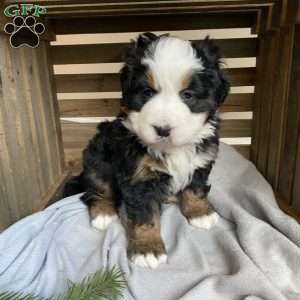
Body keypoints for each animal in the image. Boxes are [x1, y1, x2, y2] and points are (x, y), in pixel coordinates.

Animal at [63, 32, 230, 270]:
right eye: (147, 92)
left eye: (188, 95)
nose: (163, 129)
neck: (171, 149)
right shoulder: (139, 177)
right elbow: (145, 216)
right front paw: (148, 249)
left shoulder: (201, 160)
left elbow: (195, 189)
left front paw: (200, 213)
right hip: (98, 157)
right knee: (97, 188)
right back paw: (103, 213)